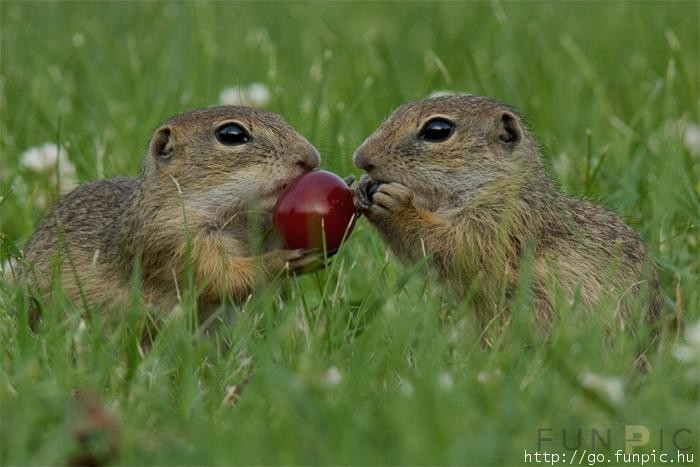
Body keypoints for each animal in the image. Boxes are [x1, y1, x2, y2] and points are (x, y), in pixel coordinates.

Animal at [352, 94, 660, 330]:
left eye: (438, 130)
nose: (360, 158)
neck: (498, 186)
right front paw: (363, 188)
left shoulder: (504, 223)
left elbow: (458, 248)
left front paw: (396, 205)